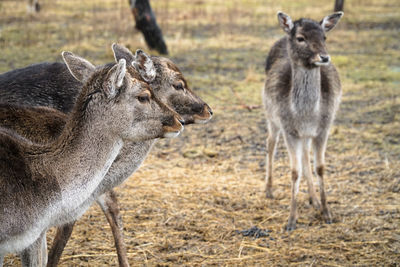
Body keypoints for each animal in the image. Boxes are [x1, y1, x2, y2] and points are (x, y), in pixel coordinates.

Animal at [262, 11, 344, 231]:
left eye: (324, 37)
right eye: (300, 38)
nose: (324, 57)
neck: (306, 114)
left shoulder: (324, 127)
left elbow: (319, 167)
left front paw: (326, 213)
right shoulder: (289, 129)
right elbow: (294, 171)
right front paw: (291, 220)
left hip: (306, 135)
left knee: (306, 155)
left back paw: (313, 199)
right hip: (271, 116)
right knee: (270, 143)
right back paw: (269, 189)